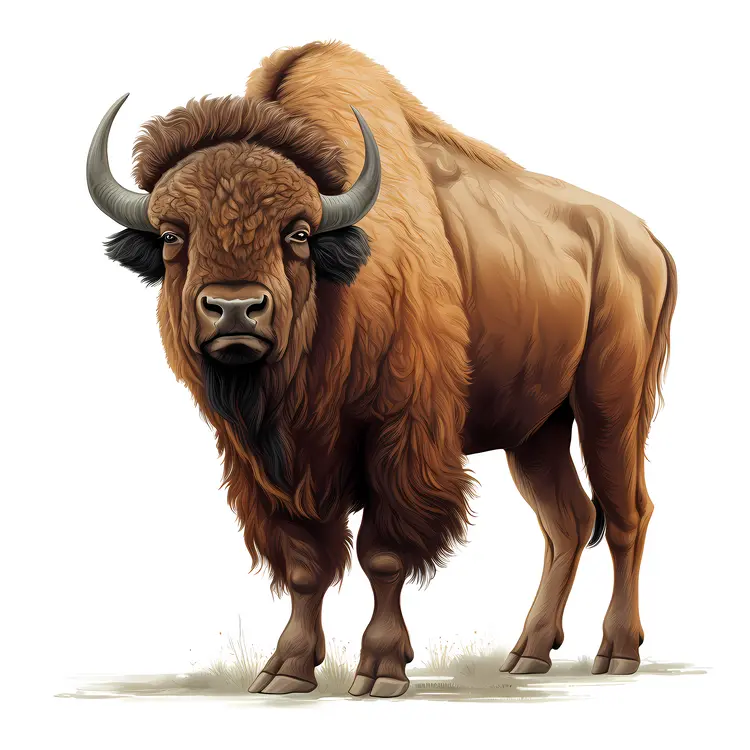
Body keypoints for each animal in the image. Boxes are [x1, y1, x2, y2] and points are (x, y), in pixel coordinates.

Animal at [86, 41, 676, 697]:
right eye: (171, 236)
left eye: (298, 233)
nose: (235, 309)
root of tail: (644, 239)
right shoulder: (269, 468)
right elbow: (305, 564)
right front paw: (285, 669)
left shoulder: (401, 439)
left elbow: (383, 555)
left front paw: (381, 669)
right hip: (536, 431)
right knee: (568, 521)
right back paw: (528, 653)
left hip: (610, 408)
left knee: (626, 515)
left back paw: (616, 653)